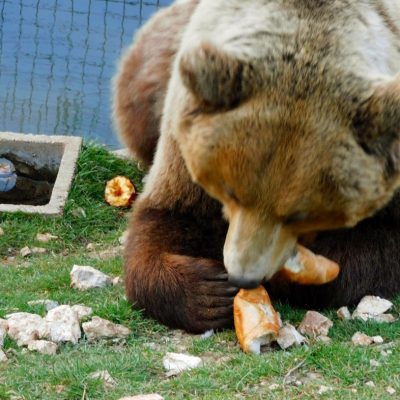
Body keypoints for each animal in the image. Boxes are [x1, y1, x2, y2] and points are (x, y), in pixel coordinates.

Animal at [111, 0, 400, 332]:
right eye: (230, 191)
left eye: (301, 214)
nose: (242, 276)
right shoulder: (183, 142)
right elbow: (166, 218)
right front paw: (209, 292)